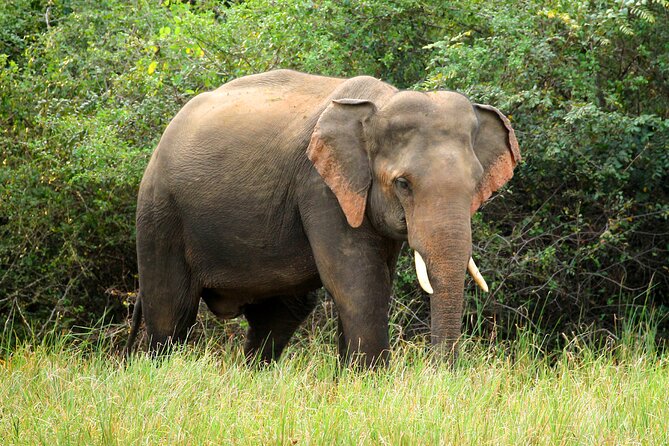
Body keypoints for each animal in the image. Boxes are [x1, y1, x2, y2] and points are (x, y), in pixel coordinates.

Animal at [126, 69, 520, 366]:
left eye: (476, 184)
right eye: (403, 184)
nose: (439, 376)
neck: (379, 104)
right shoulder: (321, 188)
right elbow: (360, 283)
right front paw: (371, 384)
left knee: (281, 314)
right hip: (160, 212)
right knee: (171, 314)